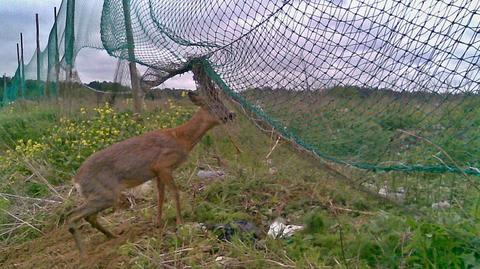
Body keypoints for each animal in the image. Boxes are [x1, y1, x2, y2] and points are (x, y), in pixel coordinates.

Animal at [66, 75, 235, 255]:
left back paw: (112, 237)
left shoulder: (156, 172)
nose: (231, 114)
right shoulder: (164, 165)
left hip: (101, 195)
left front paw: (158, 222)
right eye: (215, 105)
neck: (181, 138)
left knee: (88, 216)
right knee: (73, 215)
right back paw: (84, 253)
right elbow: (175, 193)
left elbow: (160, 196)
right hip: (105, 193)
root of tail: (77, 181)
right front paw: (180, 222)